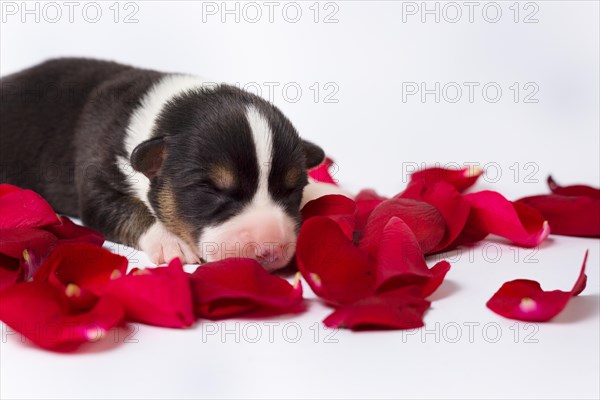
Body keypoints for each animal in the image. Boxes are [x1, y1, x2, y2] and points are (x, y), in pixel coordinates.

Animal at [0, 57, 332, 272]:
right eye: (211, 190)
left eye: (291, 190)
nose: (269, 250)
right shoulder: (98, 177)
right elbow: (126, 211)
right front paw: (171, 243)